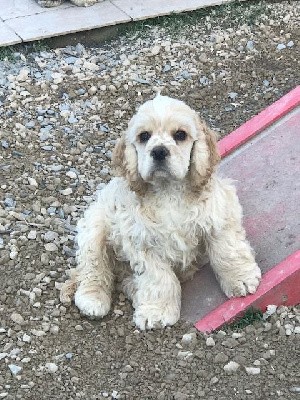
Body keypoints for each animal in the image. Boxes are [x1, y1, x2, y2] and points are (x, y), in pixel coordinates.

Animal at [60, 95, 260, 330]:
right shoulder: (142, 243)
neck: (168, 191)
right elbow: (158, 278)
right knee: (93, 267)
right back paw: (93, 299)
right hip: (93, 227)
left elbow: (227, 251)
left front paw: (241, 280)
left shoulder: (218, 214)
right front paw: (157, 312)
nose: (159, 151)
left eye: (180, 135)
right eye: (144, 136)